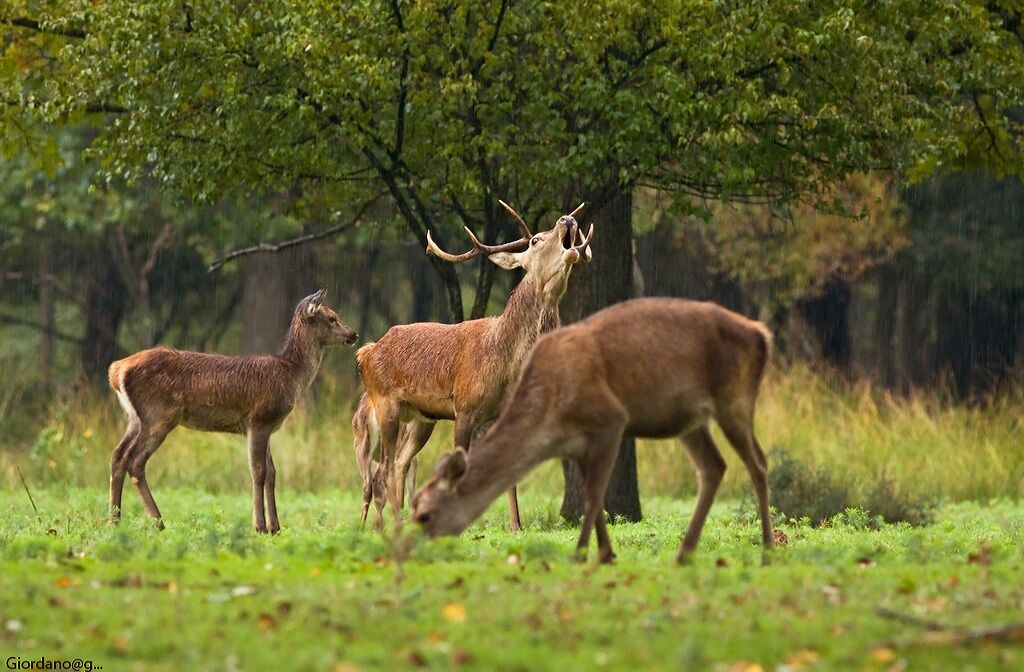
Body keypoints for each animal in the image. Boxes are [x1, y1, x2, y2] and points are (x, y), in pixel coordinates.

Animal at [107, 288, 357, 533]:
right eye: (332, 317)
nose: (353, 334)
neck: (291, 374)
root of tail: (116, 370)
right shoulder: (259, 418)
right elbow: (258, 471)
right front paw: (259, 526)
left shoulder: (266, 426)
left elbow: (272, 473)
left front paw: (275, 527)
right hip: (158, 415)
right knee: (135, 461)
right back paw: (157, 521)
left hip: (135, 418)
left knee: (118, 455)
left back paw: (114, 520)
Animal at [355, 200, 593, 531]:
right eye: (535, 240)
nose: (567, 218)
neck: (506, 363)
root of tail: (365, 352)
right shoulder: (465, 407)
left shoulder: (501, 414)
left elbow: (507, 470)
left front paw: (516, 526)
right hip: (385, 404)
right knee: (383, 469)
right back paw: (386, 527)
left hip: (422, 418)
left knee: (401, 461)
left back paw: (399, 522)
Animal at [411, 297, 775, 564]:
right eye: (413, 507)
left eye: (425, 515)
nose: (412, 551)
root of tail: (762, 334)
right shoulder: (576, 444)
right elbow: (593, 495)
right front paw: (604, 552)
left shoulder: (611, 421)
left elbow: (594, 493)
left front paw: (582, 553)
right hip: (691, 419)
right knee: (714, 466)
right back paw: (684, 553)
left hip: (735, 398)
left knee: (758, 462)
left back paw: (768, 549)